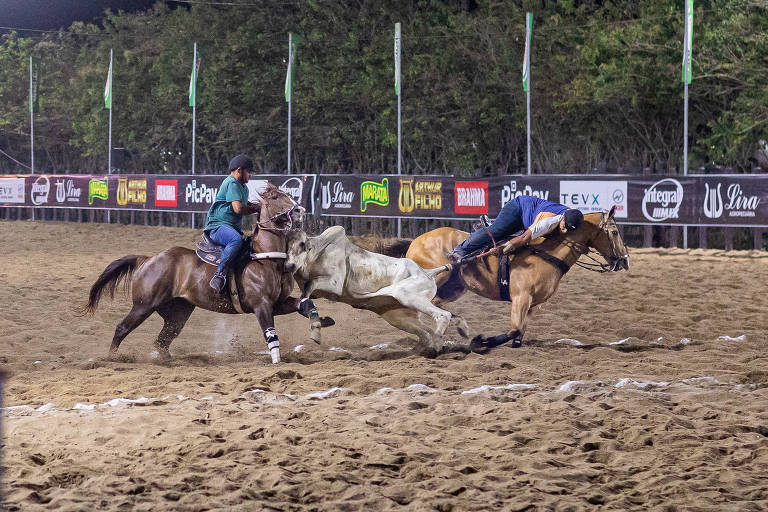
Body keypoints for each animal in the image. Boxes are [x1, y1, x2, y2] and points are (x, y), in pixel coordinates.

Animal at [84, 185, 328, 364]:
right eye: (277, 196)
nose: (300, 210)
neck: (266, 258)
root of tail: (147, 259)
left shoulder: (277, 303)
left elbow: (306, 304)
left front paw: (319, 326)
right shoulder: (262, 305)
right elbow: (270, 334)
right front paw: (277, 360)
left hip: (178, 313)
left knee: (162, 341)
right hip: (143, 306)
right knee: (122, 328)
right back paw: (112, 358)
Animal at [384, 206, 632, 354]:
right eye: (615, 232)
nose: (624, 260)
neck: (548, 252)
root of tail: (415, 241)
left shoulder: (534, 304)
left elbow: (520, 330)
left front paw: (514, 344)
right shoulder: (521, 297)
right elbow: (514, 329)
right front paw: (481, 342)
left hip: (454, 287)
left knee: (435, 306)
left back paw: (458, 327)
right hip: (438, 278)